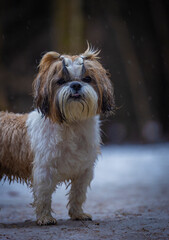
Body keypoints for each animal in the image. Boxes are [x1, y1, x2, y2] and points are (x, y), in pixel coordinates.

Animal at [0, 45, 115, 225]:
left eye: (87, 78)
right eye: (60, 81)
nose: (76, 85)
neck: (73, 125)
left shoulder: (84, 171)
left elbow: (77, 194)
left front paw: (78, 214)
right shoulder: (44, 171)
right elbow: (44, 196)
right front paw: (45, 217)